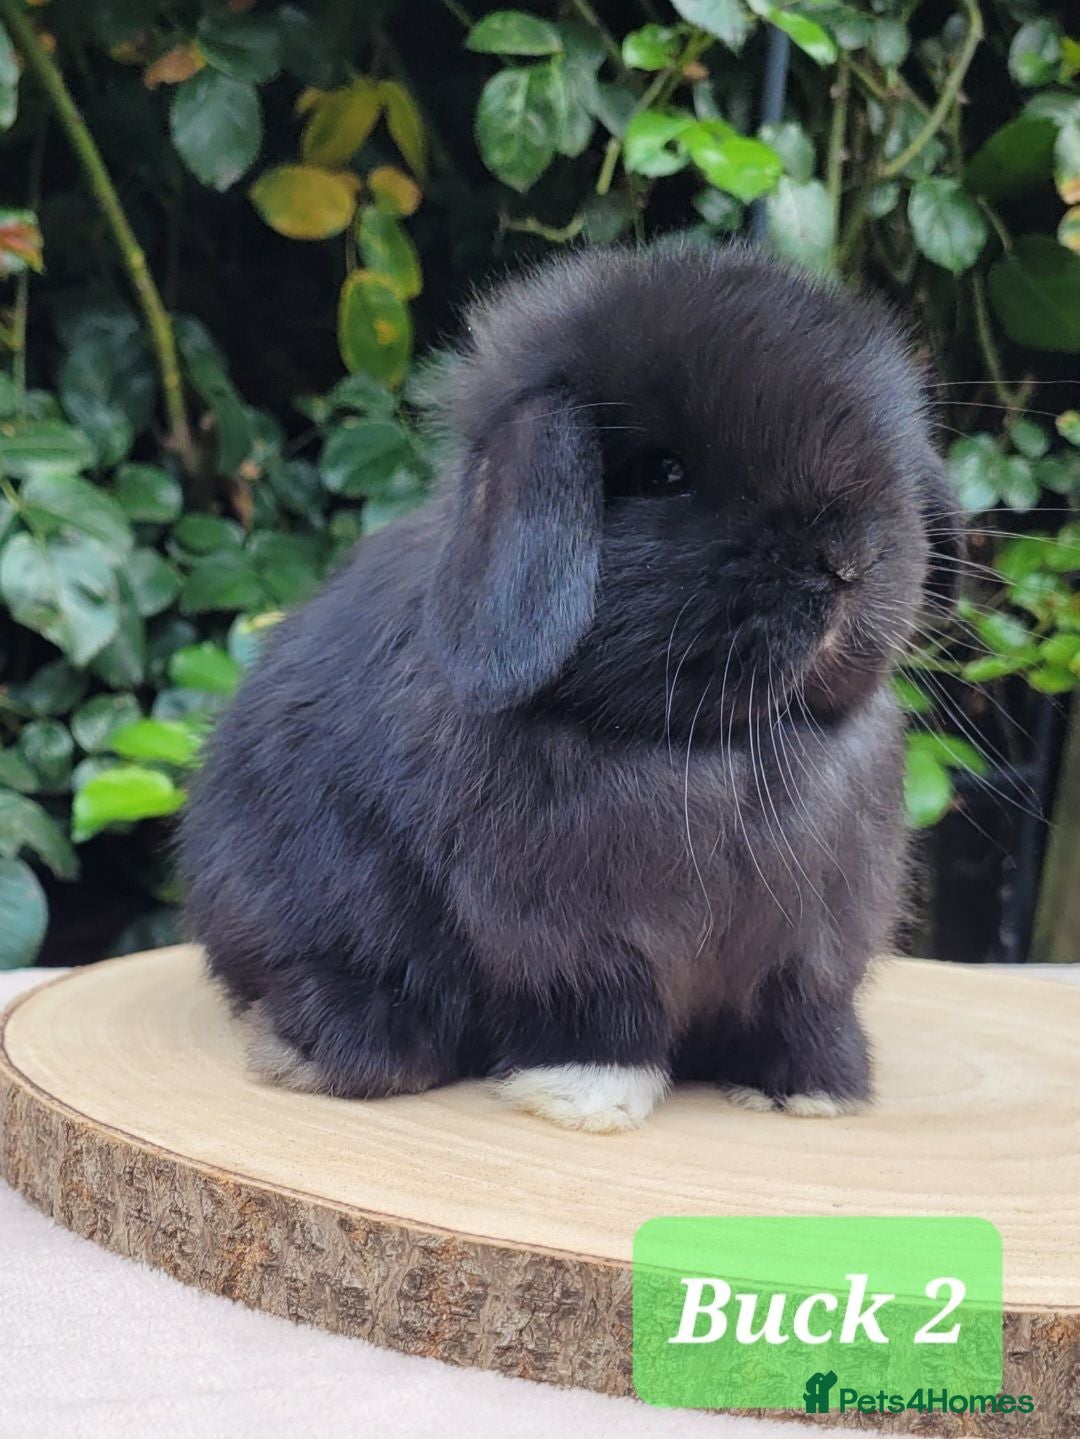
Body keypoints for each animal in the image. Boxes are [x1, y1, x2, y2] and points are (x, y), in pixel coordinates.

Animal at [180, 241, 962, 1134]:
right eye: (663, 472)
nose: (846, 559)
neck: (717, 742)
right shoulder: (565, 936)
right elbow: (596, 1009)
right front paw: (586, 1096)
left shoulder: (817, 942)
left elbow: (802, 1007)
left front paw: (816, 1088)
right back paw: (335, 1042)